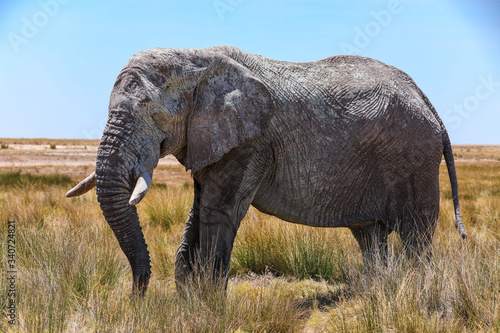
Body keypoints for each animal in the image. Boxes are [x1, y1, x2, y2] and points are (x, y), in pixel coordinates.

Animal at [65, 44, 464, 294]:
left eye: (154, 113)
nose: (138, 297)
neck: (196, 58)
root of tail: (428, 102)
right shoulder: (214, 139)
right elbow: (198, 211)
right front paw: (190, 302)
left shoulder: (251, 142)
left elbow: (218, 213)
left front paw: (208, 308)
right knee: (370, 235)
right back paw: (379, 292)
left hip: (414, 158)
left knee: (416, 236)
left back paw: (417, 295)